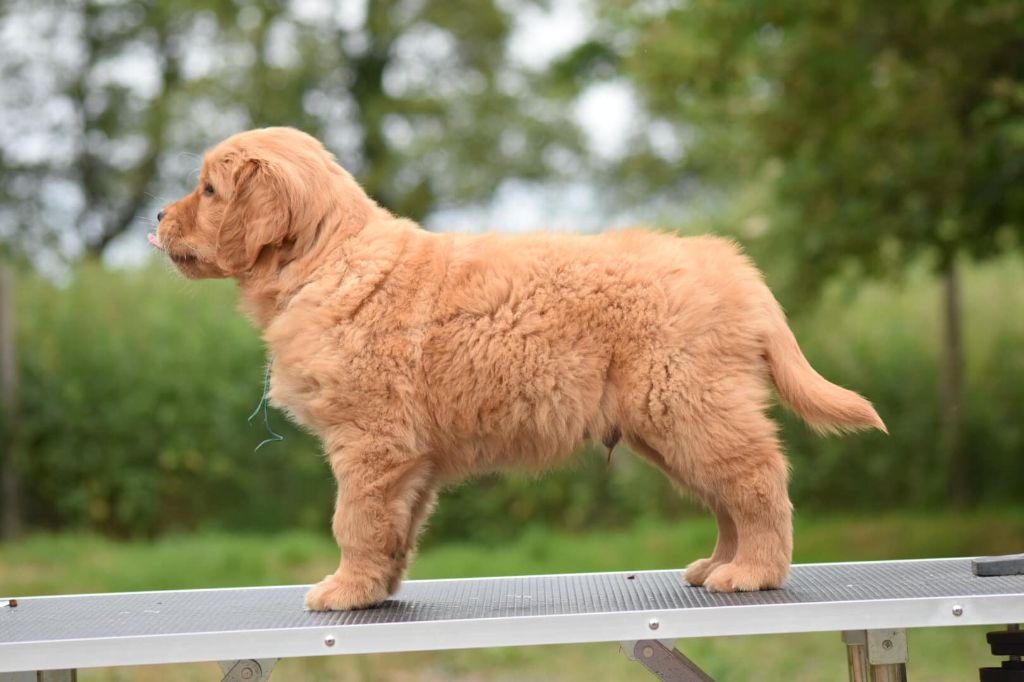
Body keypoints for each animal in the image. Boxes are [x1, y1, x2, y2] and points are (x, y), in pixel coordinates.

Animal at [153, 127, 888, 610]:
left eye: (208, 189)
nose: (158, 214)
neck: (325, 260)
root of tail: (736, 268)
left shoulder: (371, 441)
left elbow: (354, 518)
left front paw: (344, 589)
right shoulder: (410, 455)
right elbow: (398, 526)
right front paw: (378, 590)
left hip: (684, 404)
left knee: (757, 480)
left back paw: (754, 571)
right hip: (671, 421)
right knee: (728, 495)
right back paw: (718, 565)